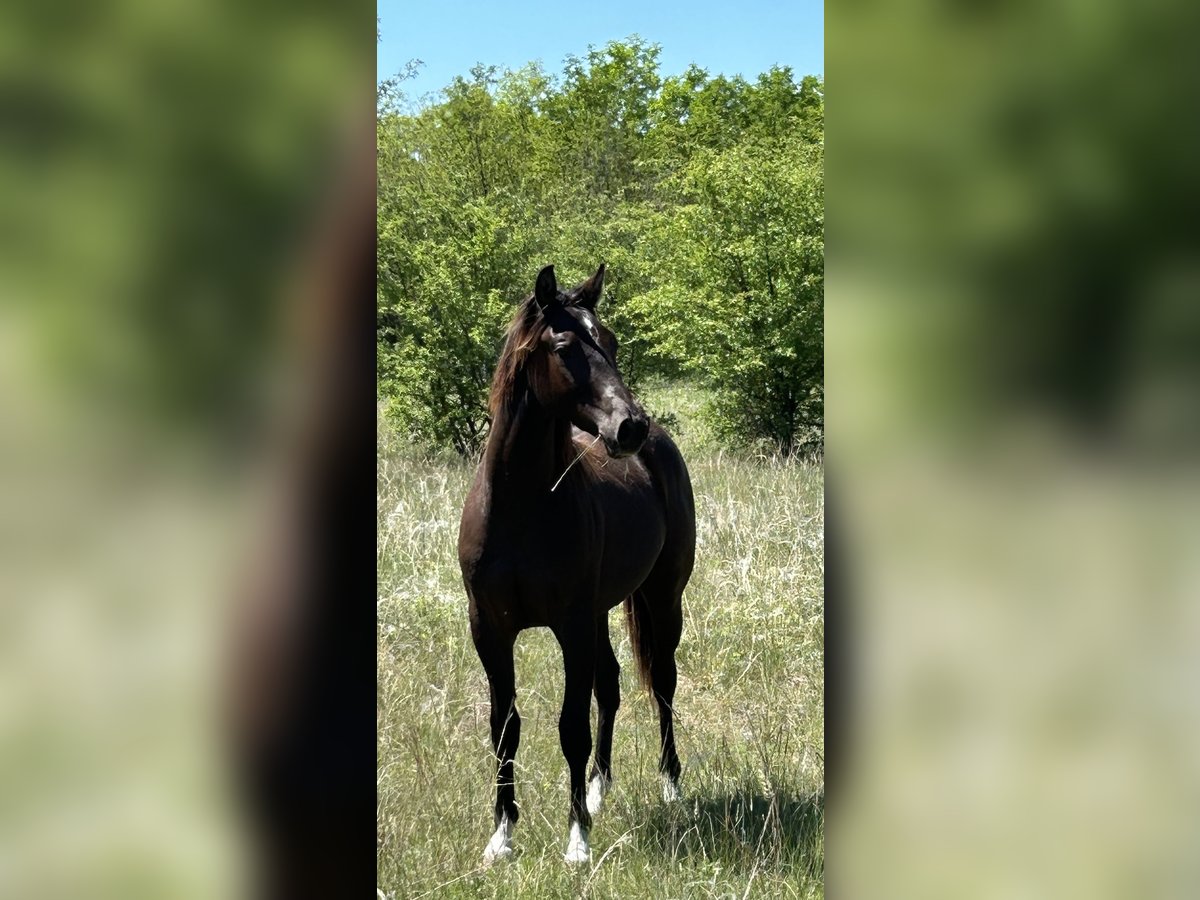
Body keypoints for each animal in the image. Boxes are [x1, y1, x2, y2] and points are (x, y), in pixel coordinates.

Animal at [463, 266, 700, 868]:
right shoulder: (489, 629)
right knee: (610, 686)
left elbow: (571, 726)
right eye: (565, 346)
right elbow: (504, 727)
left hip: (662, 599)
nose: (630, 426)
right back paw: (598, 786)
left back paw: (670, 784)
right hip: (599, 613)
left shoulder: (569, 625)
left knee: (662, 684)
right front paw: (501, 835)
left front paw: (577, 841)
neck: (520, 508)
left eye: (610, 342)